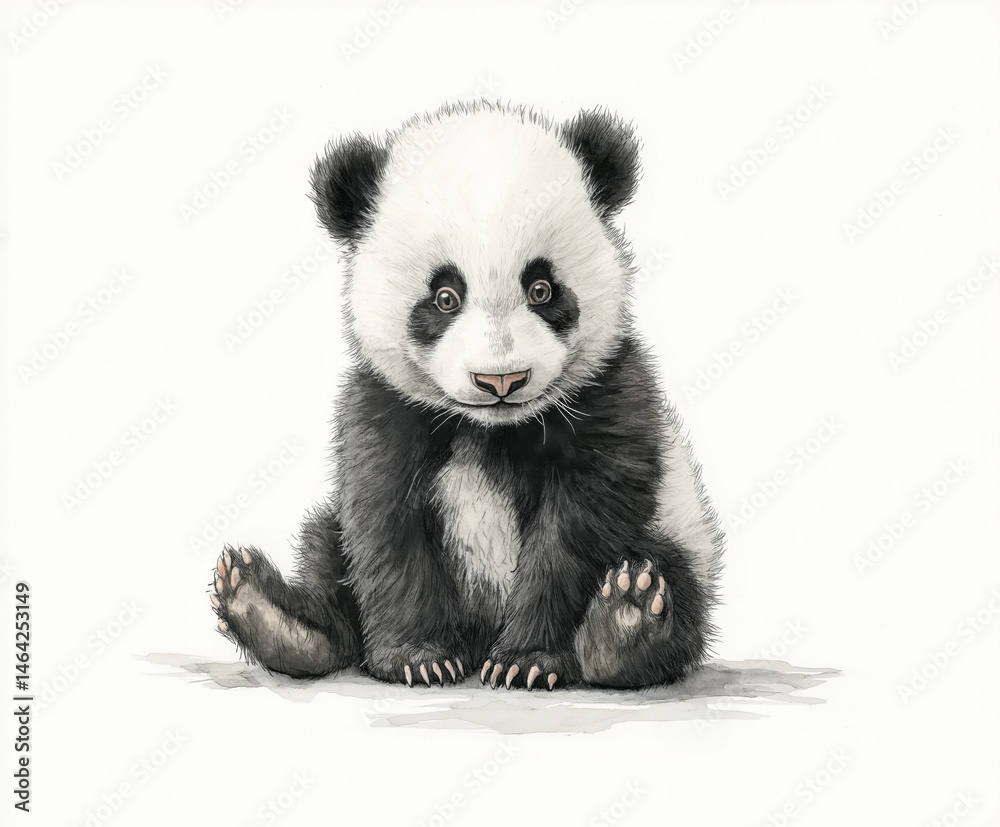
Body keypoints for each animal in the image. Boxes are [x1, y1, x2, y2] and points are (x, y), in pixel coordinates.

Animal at [209, 101, 724, 690]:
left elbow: (580, 523)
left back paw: (625, 623)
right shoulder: (384, 408)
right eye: (444, 297)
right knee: (327, 549)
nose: (500, 381)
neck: (489, 431)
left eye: (542, 289)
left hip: (679, 529)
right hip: (332, 533)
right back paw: (275, 617)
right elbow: (385, 521)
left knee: (674, 583)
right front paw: (419, 657)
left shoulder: (610, 394)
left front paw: (529, 660)